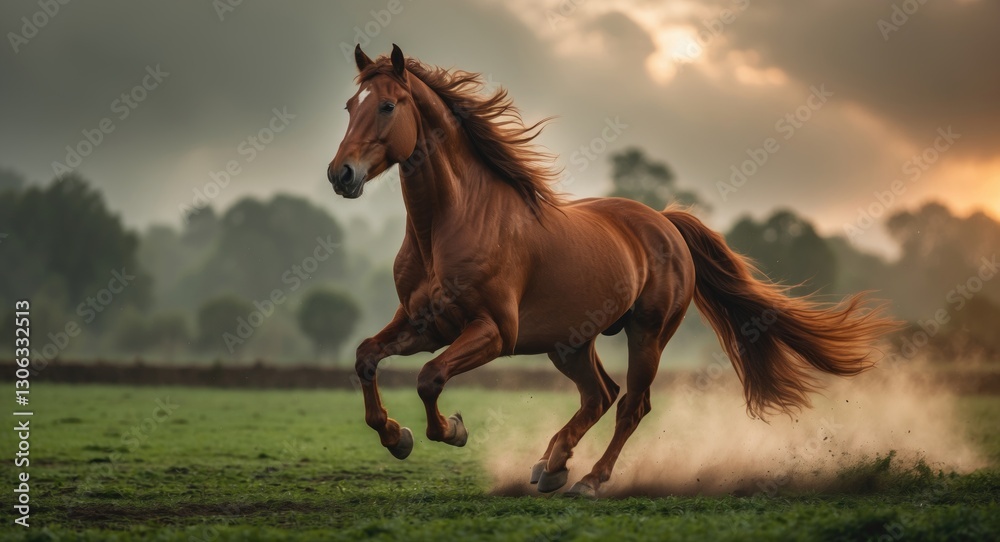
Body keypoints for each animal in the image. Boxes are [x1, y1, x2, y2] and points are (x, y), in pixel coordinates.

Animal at [327, 44, 899, 498]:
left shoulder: (494, 332)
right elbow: (366, 358)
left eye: (387, 105)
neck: (450, 224)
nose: (341, 174)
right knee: (599, 395)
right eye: (349, 105)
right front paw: (395, 436)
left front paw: (453, 430)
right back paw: (551, 466)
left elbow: (429, 378)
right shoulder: (424, 324)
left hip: (646, 334)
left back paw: (586, 480)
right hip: (569, 342)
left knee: (631, 405)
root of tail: (666, 223)